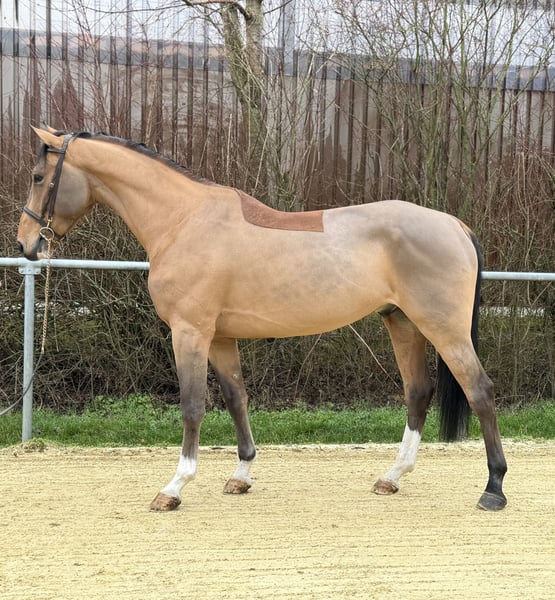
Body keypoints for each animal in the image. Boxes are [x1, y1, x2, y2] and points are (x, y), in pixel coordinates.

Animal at [17, 127, 508, 512]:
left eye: (39, 177)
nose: (26, 245)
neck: (183, 220)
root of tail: (455, 225)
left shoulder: (190, 333)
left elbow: (193, 405)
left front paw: (174, 487)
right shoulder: (220, 338)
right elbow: (237, 398)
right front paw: (241, 475)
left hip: (443, 327)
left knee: (479, 390)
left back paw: (493, 488)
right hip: (402, 322)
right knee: (418, 391)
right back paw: (391, 477)